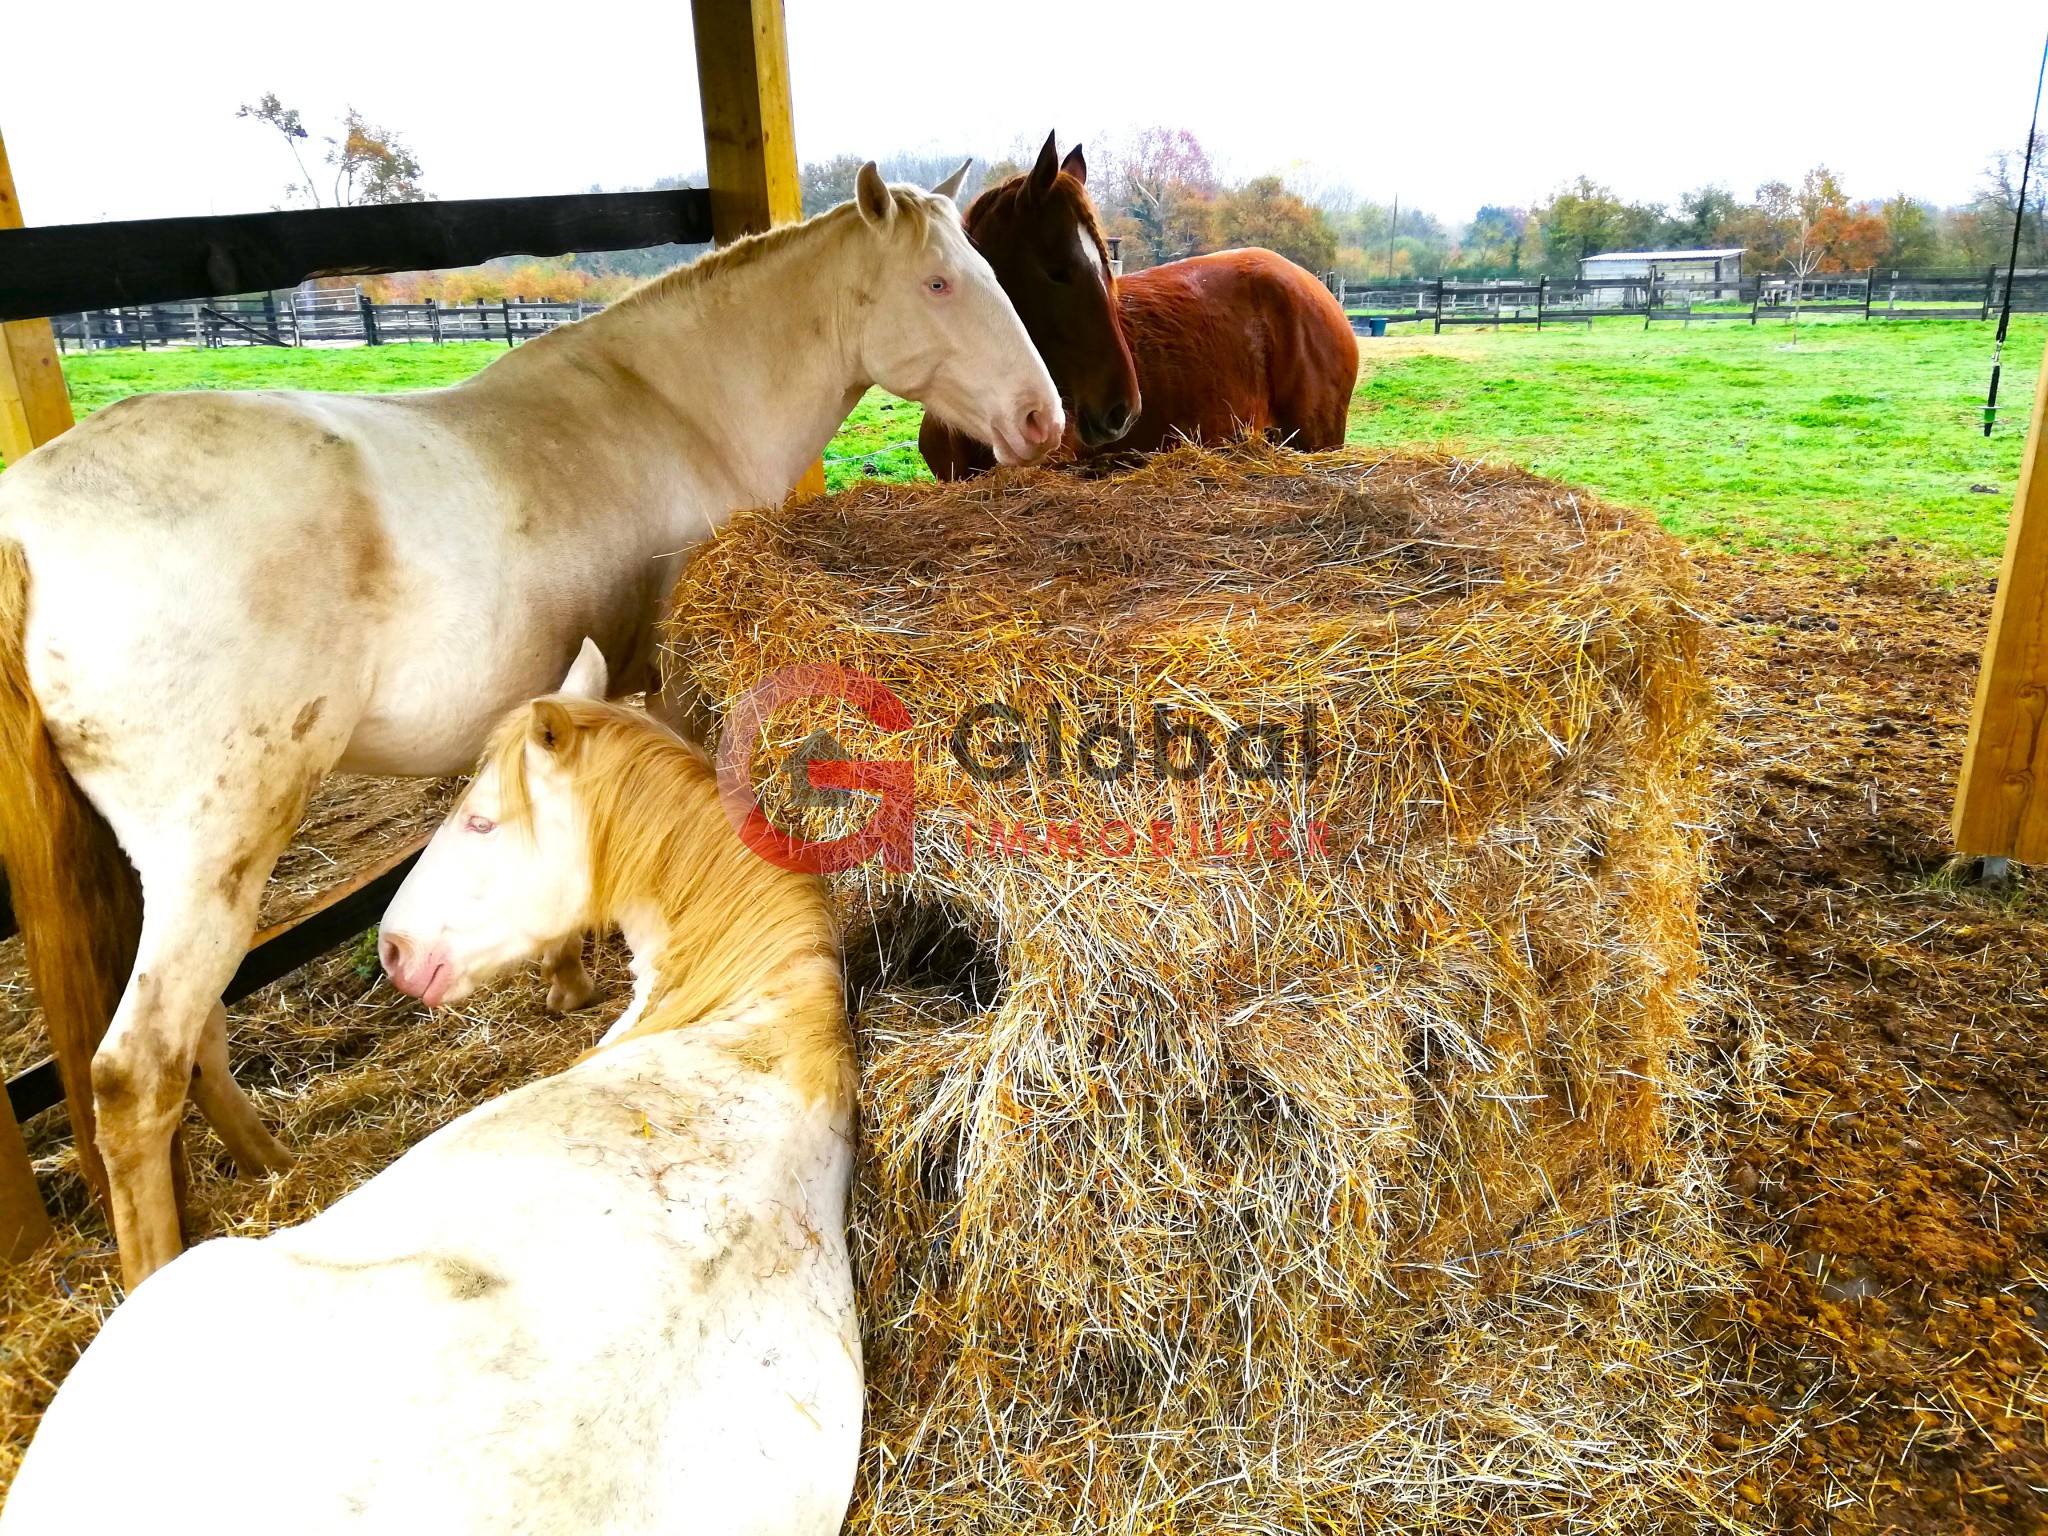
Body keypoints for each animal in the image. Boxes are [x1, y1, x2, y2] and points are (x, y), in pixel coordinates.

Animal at [0, 162, 1056, 1286]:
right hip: (217, 850)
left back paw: (265, 1163)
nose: (1042, 421)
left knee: (193, 1037)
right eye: (940, 283)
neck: (675, 405)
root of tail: (24, 526)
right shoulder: (668, 685)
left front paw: (561, 974)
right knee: (139, 1070)